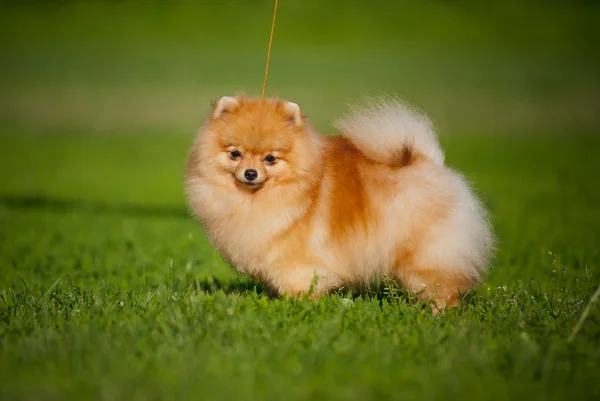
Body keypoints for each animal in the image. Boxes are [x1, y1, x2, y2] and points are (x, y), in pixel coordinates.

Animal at [185, 95, 494, 310]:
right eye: (235, 154)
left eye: (270, 158)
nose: (250, 173)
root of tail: (429, 162)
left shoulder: (298, 263)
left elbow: (300, 285)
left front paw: (296, 308)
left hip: (427, 257)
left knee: (443, 289)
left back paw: (437, 315)